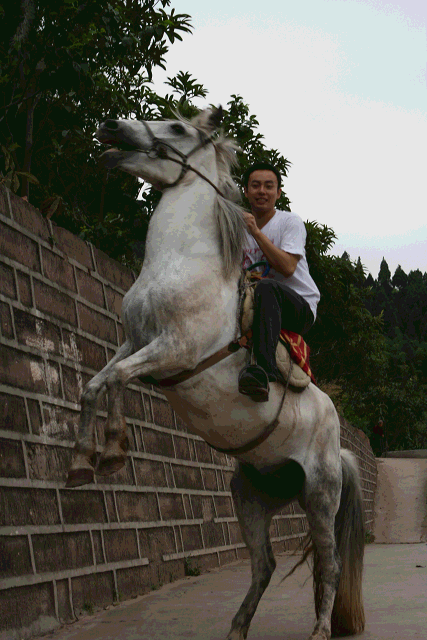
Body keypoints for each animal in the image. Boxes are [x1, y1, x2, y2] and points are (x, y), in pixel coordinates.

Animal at [66, 109, 364, 640]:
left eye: (177, 129)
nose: (113, 129)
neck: (181, 265)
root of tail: (338, 440)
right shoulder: (133, 343)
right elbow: (95, 385)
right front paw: (83, 462)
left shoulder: (173, 351)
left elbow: (114, 381)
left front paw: (112, 452)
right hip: (249, 495)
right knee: (263, 565)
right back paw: (237, 628)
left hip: (320, 494)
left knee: (328, 564)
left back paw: (320, 629)